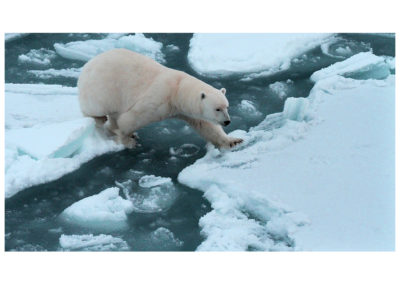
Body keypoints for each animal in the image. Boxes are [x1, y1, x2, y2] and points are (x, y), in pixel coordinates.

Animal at [76, 49, 242, 149]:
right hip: (101, 88)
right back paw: (99, 119)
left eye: (227, 106)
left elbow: (207, 126)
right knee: (95, 108)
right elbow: (132, 118)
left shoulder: (186, 110)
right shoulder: (159, 98)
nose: (227, 121)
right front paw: (127, 141)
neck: (178, 89)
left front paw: (234, 140)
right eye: (217, 109)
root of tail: (87, 64)